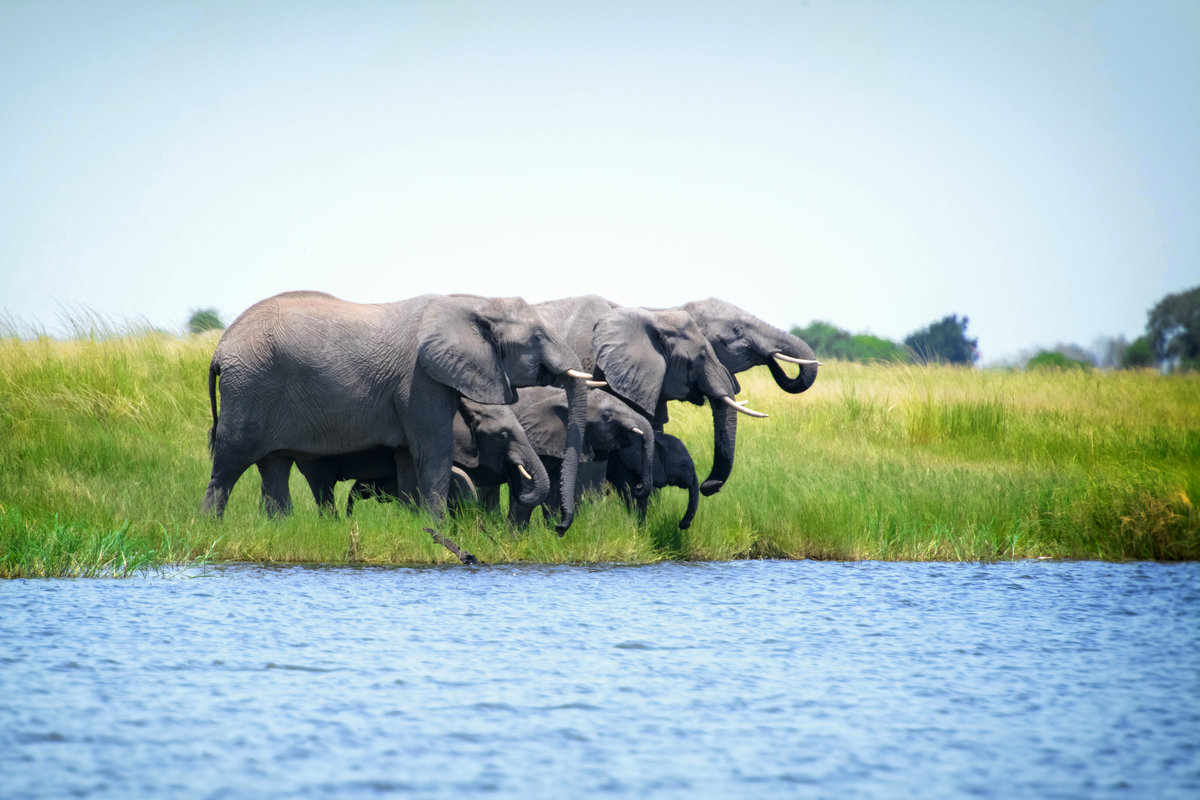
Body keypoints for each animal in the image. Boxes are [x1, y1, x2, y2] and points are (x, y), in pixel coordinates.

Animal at [200, 291, 590, 534]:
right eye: (538, 337)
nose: (559, 528)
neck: (474, 303)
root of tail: (220, 347)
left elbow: (407, 460)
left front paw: (416, 525)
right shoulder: (420, 380)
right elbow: (433, 453)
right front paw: (438, 530)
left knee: (275, 467)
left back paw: (281, 529)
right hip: (249, 387)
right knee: (228, 465)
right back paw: (209, 529)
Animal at [506, 386, 657, 527]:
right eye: (607, 416)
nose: (638, 486)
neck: (561, 397)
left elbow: (553, 495)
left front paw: (552, 531)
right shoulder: (526, 441)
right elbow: (527, 493)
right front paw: (518, 536)